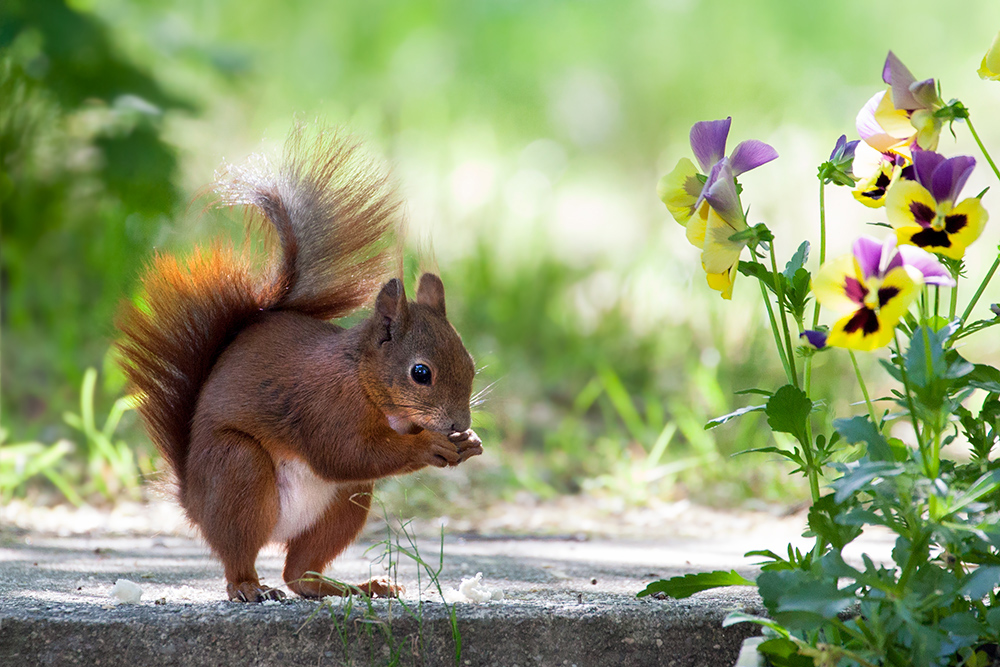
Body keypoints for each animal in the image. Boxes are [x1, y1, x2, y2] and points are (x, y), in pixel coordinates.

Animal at [117, 128, 484, 604]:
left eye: (471, 363)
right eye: (421, 373)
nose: (460, 423)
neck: (364, 381)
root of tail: (193, 501)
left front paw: (470, 442)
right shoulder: (325, 406)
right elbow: (344, 453)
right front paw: (429, 446)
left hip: (347, 502)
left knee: (300, 574)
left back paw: (356, 586)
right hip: (238, 470)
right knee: (239, 554)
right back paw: (248, 586)